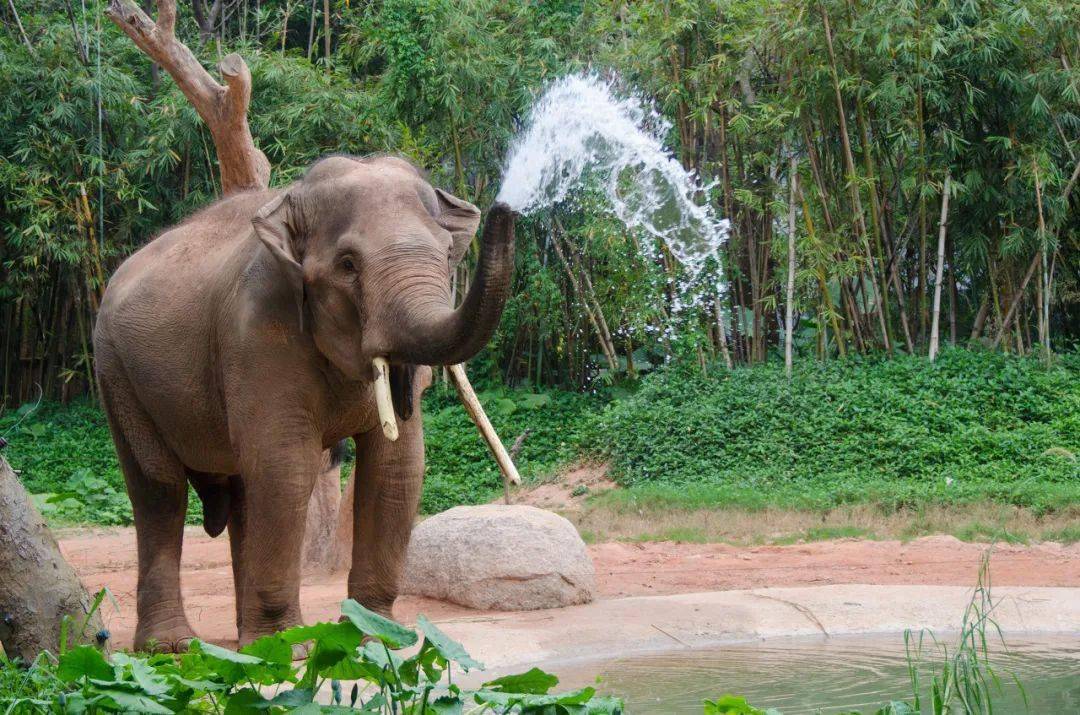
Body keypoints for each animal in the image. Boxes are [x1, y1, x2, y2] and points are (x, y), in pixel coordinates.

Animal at [91, 156, 514, 656]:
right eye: (348, 264)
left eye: (448, 255)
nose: (507, 208)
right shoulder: (257, 332)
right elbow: (285, 466)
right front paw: (286, 649)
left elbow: (396, 466)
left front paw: (375, 637)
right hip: (116, 373)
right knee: (160, 490)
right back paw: (174, 646)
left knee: (242, 493)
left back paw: (242, 639)